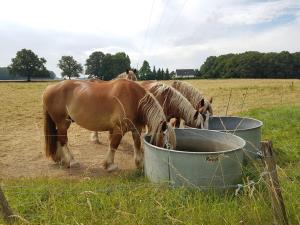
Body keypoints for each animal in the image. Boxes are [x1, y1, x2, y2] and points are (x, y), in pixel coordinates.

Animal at [41, 78, 175, 171]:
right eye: (166, 144)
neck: (135, 99)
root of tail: (49, 88)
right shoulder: (120, 129)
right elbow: (114, 145)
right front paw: (109, 165)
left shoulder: (136, 128)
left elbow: (137, 144)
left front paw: (139, 164)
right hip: (62, 122)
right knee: (63, 140)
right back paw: (71, 161)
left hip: (64, 123)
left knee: (57, 137)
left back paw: (60, 159)